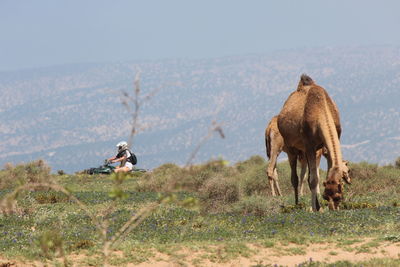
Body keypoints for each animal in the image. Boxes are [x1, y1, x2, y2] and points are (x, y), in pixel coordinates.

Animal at [278, 74, 350, 211]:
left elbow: (321, 175)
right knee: (295, 178)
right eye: (326, 197)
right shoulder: (309, 145)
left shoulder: (324, 146)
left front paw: (320, 207)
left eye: (338, 197)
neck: (320, 110)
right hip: (291, 148)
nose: (333, 209)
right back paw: (297, 204)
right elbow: (313, 180)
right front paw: (315, 209)